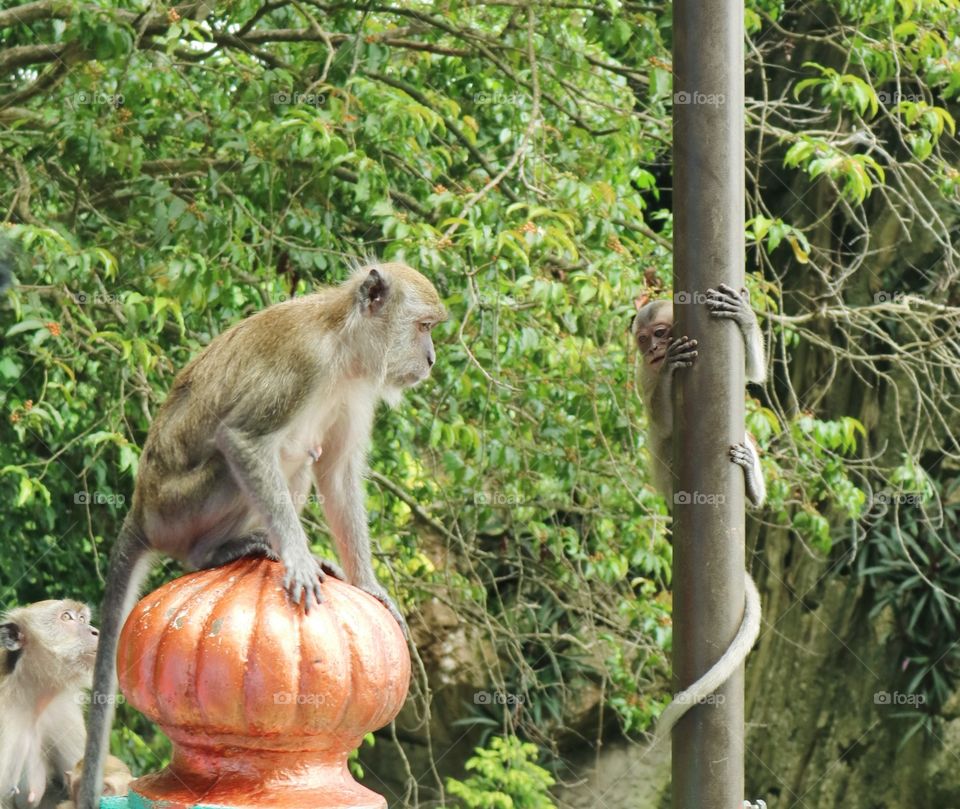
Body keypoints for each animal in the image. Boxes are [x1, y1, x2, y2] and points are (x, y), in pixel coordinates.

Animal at [78, 260, 447, 809]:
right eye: (424, 327)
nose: (430, 358)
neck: (343, 345)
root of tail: (142, 505)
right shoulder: (304, 364)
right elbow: (244, 440)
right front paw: (296, 555)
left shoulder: (358, 391)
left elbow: (337, 472)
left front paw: (367, 582)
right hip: (177, 508)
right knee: (241, 458)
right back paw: (222, 550)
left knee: (301, 457)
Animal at [630, 282, 765, 738]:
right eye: (643, 341)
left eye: (659, 333)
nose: (655, 350)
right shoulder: (642, 375)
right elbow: (661, 423)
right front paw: (670, 370)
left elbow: (752, 376)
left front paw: (744, 316)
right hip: (666, 479)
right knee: (665, 441)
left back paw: (753, 487)